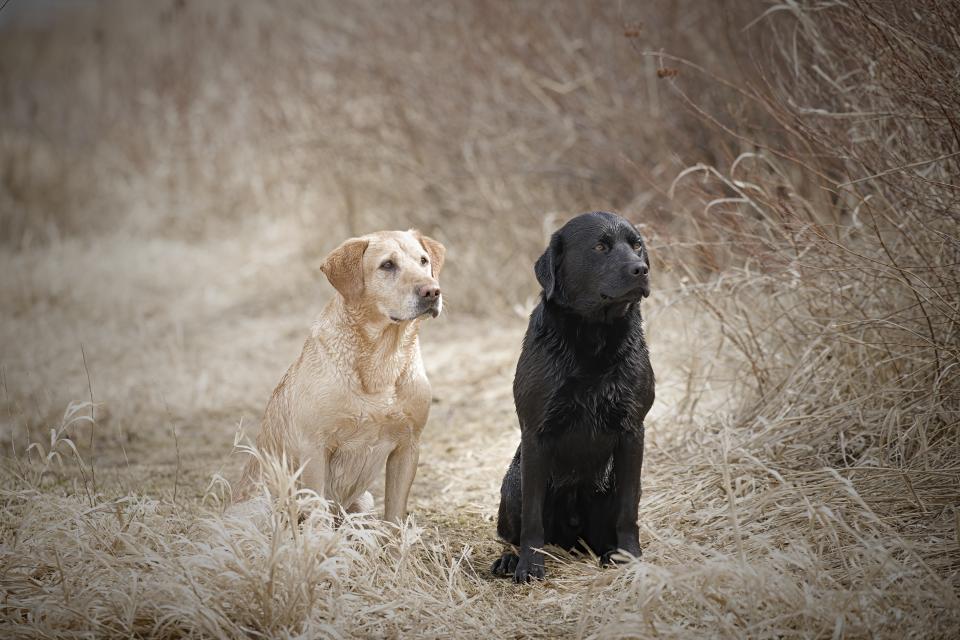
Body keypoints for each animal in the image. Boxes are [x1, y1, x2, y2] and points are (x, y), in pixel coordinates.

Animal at [234, 228, 444, 524]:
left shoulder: (409, 445)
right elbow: (317, 513)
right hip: (259, 506)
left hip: (364, 500)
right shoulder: (314, 447)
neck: (383, 358)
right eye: (387, 265)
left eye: (423, 261)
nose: (432, 291)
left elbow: (394, 517)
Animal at [492, 212, 656, 584]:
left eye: (637, 245)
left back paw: (609, 552)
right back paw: (508, 560)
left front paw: (631, 557)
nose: (641, 269)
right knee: (510, 534)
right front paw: (529, 567)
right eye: (600, 247)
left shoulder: (632, 430)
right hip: (513, 483)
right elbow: (533, 520)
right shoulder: (536, 433)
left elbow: (628, 511)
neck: (594, 338)